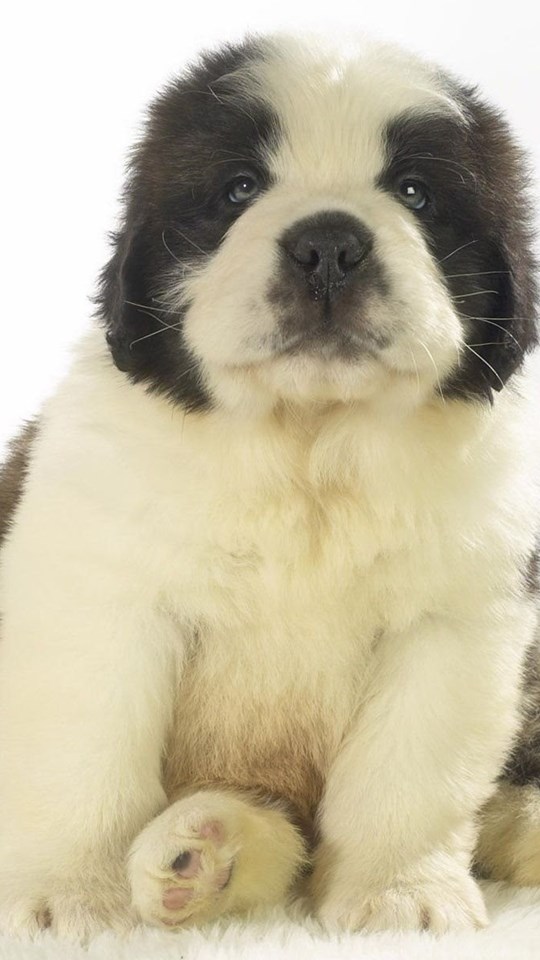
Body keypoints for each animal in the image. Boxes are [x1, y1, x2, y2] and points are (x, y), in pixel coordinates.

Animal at [0, 32, 539, 941]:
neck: (308, 447)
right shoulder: (97, 591)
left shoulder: (455, 617)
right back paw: (200, 853)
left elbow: (412, 776)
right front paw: (75, 898)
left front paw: (399, 896)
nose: (329, 245)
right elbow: (85, 755)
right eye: (239, 189)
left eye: (416, 193)